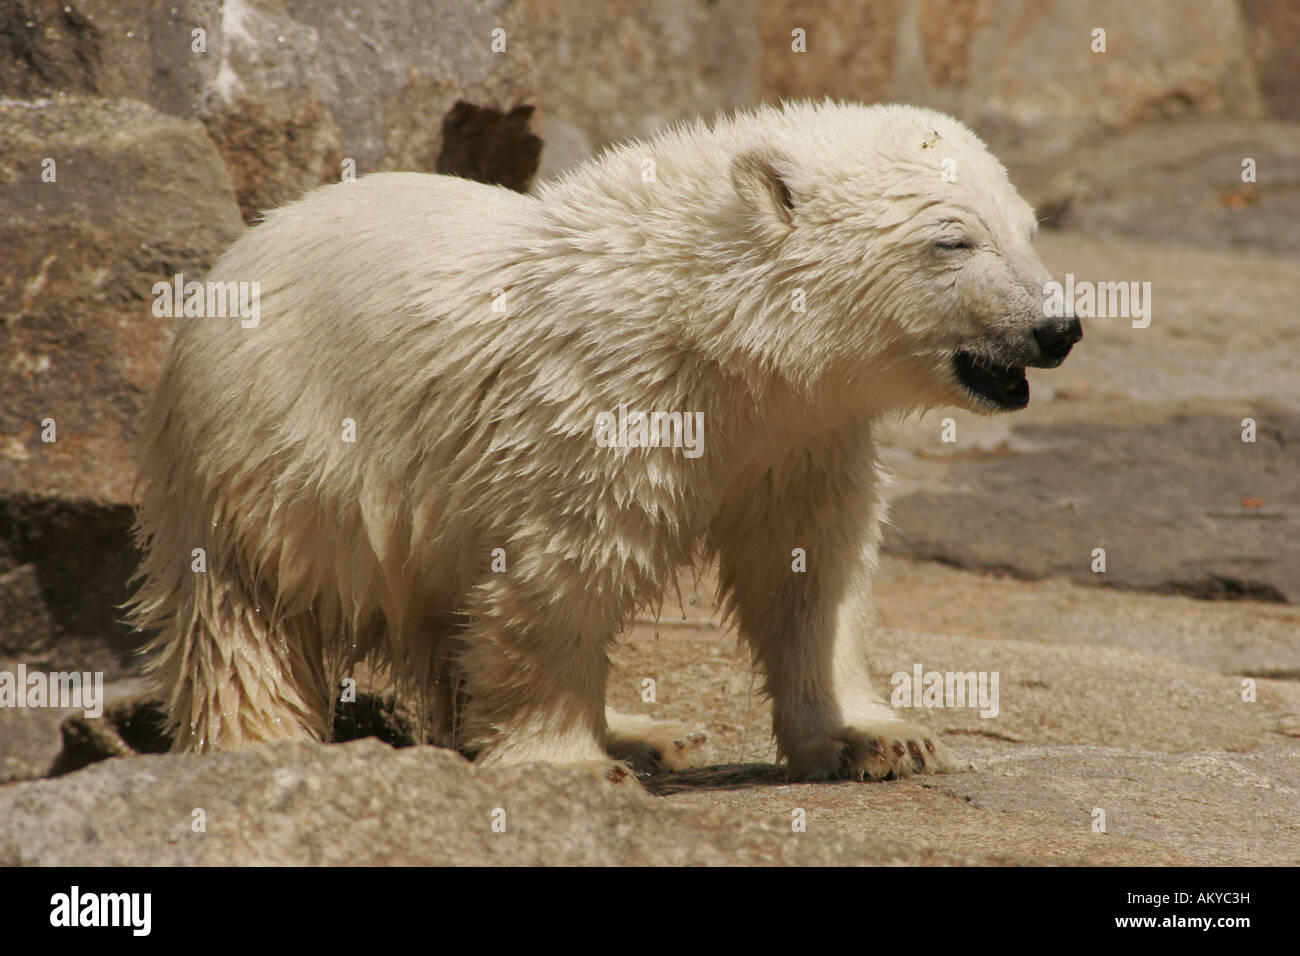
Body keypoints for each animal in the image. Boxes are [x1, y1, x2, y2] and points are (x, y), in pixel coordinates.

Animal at [126, 100, 1081, 780]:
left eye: (1027, 228)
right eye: (953, 239)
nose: (1059, 327)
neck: (715, 335)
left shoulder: (799, 437)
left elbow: (812, 566)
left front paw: (879, 739)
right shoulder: (602, 406)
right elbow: (563, 574)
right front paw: (568, 764)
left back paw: (649, 734)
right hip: (264, 460)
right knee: (246, 623)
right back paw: (259, 750)